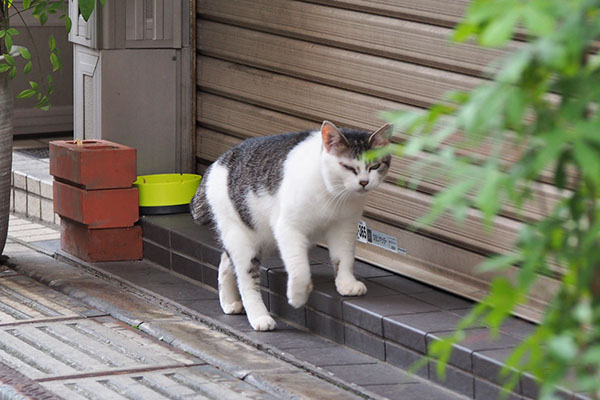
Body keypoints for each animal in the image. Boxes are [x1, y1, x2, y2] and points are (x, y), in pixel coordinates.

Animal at [190, 119, 392, 332]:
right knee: (246, 280)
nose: (364, 182)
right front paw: (297, 296)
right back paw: (259, 317)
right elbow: (299, 267)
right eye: (347, 167)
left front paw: (346, 283)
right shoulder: (288, 228)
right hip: (242, 237)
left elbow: (344, 258)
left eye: (375, 166)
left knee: (226, 263)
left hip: (260, 238)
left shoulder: (345, 226)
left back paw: (229, 303)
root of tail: (217, 163)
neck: (333, 193)